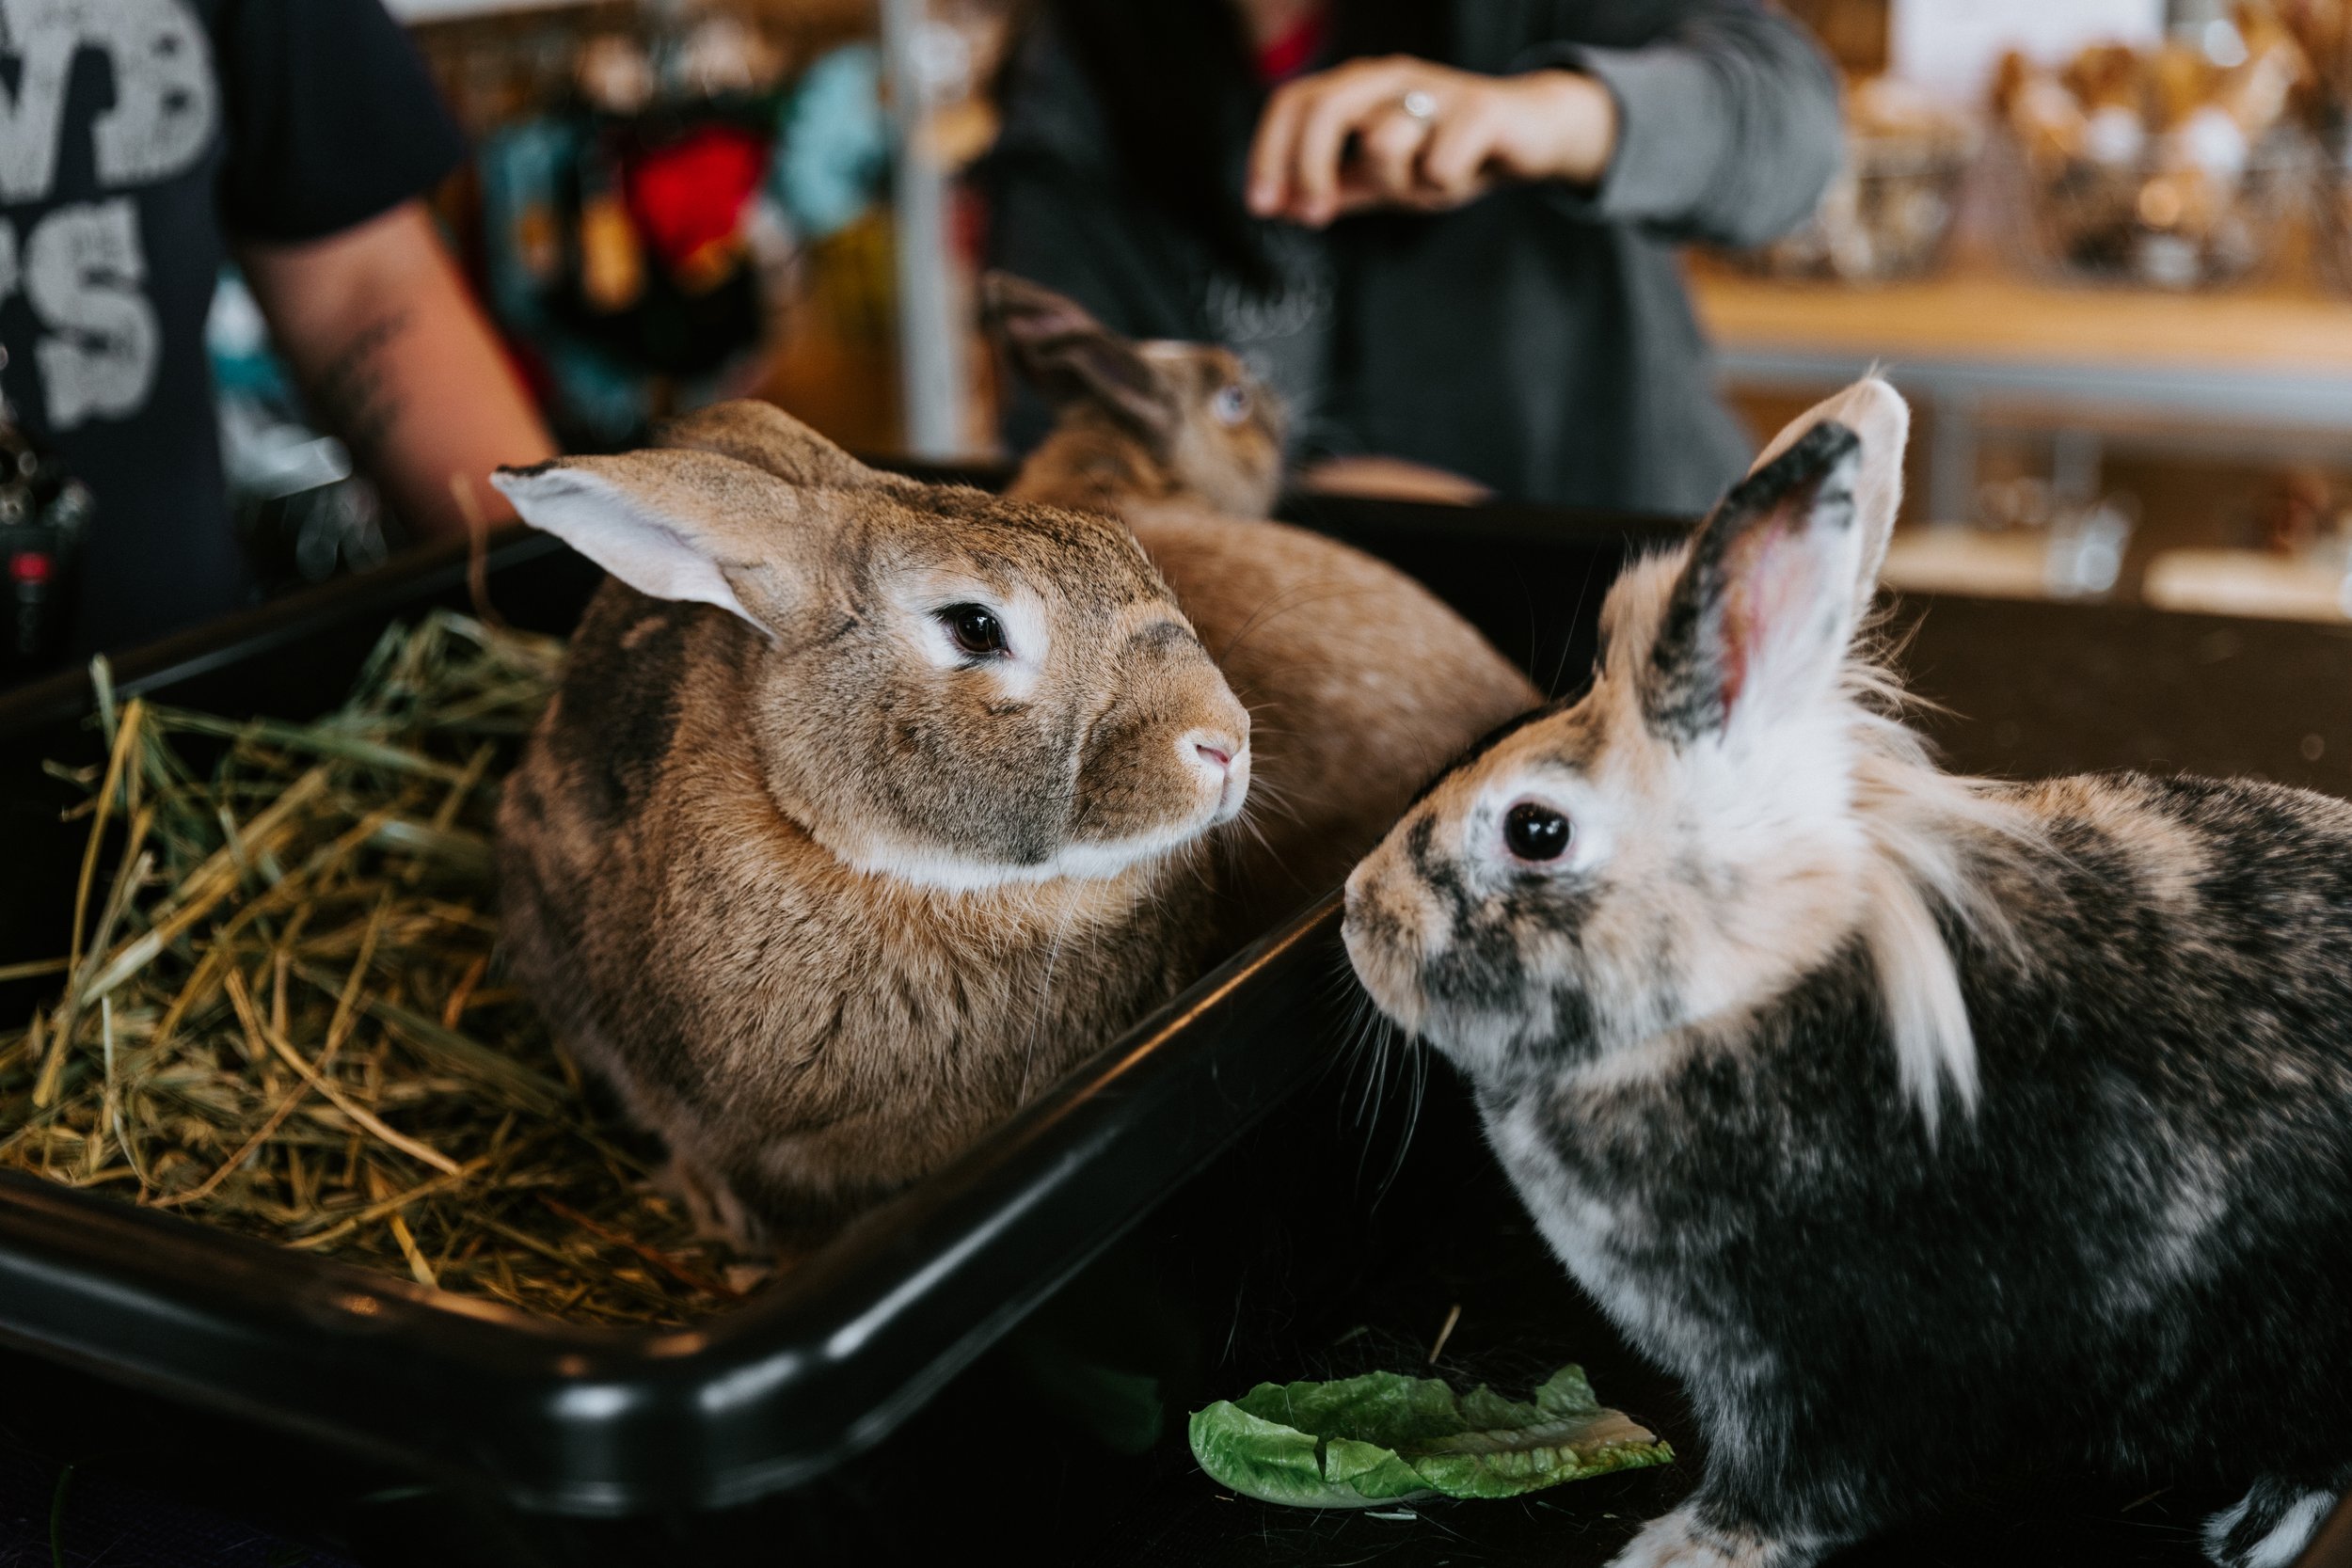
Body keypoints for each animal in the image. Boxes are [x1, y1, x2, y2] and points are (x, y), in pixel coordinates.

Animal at [1341, 375, 2352, 1568]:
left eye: (1536, 829)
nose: (1354, 910)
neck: (1736, 993)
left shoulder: (1830, 1373)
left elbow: (1792, 1487)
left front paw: (1677, 1548)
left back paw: (2251, 1533)